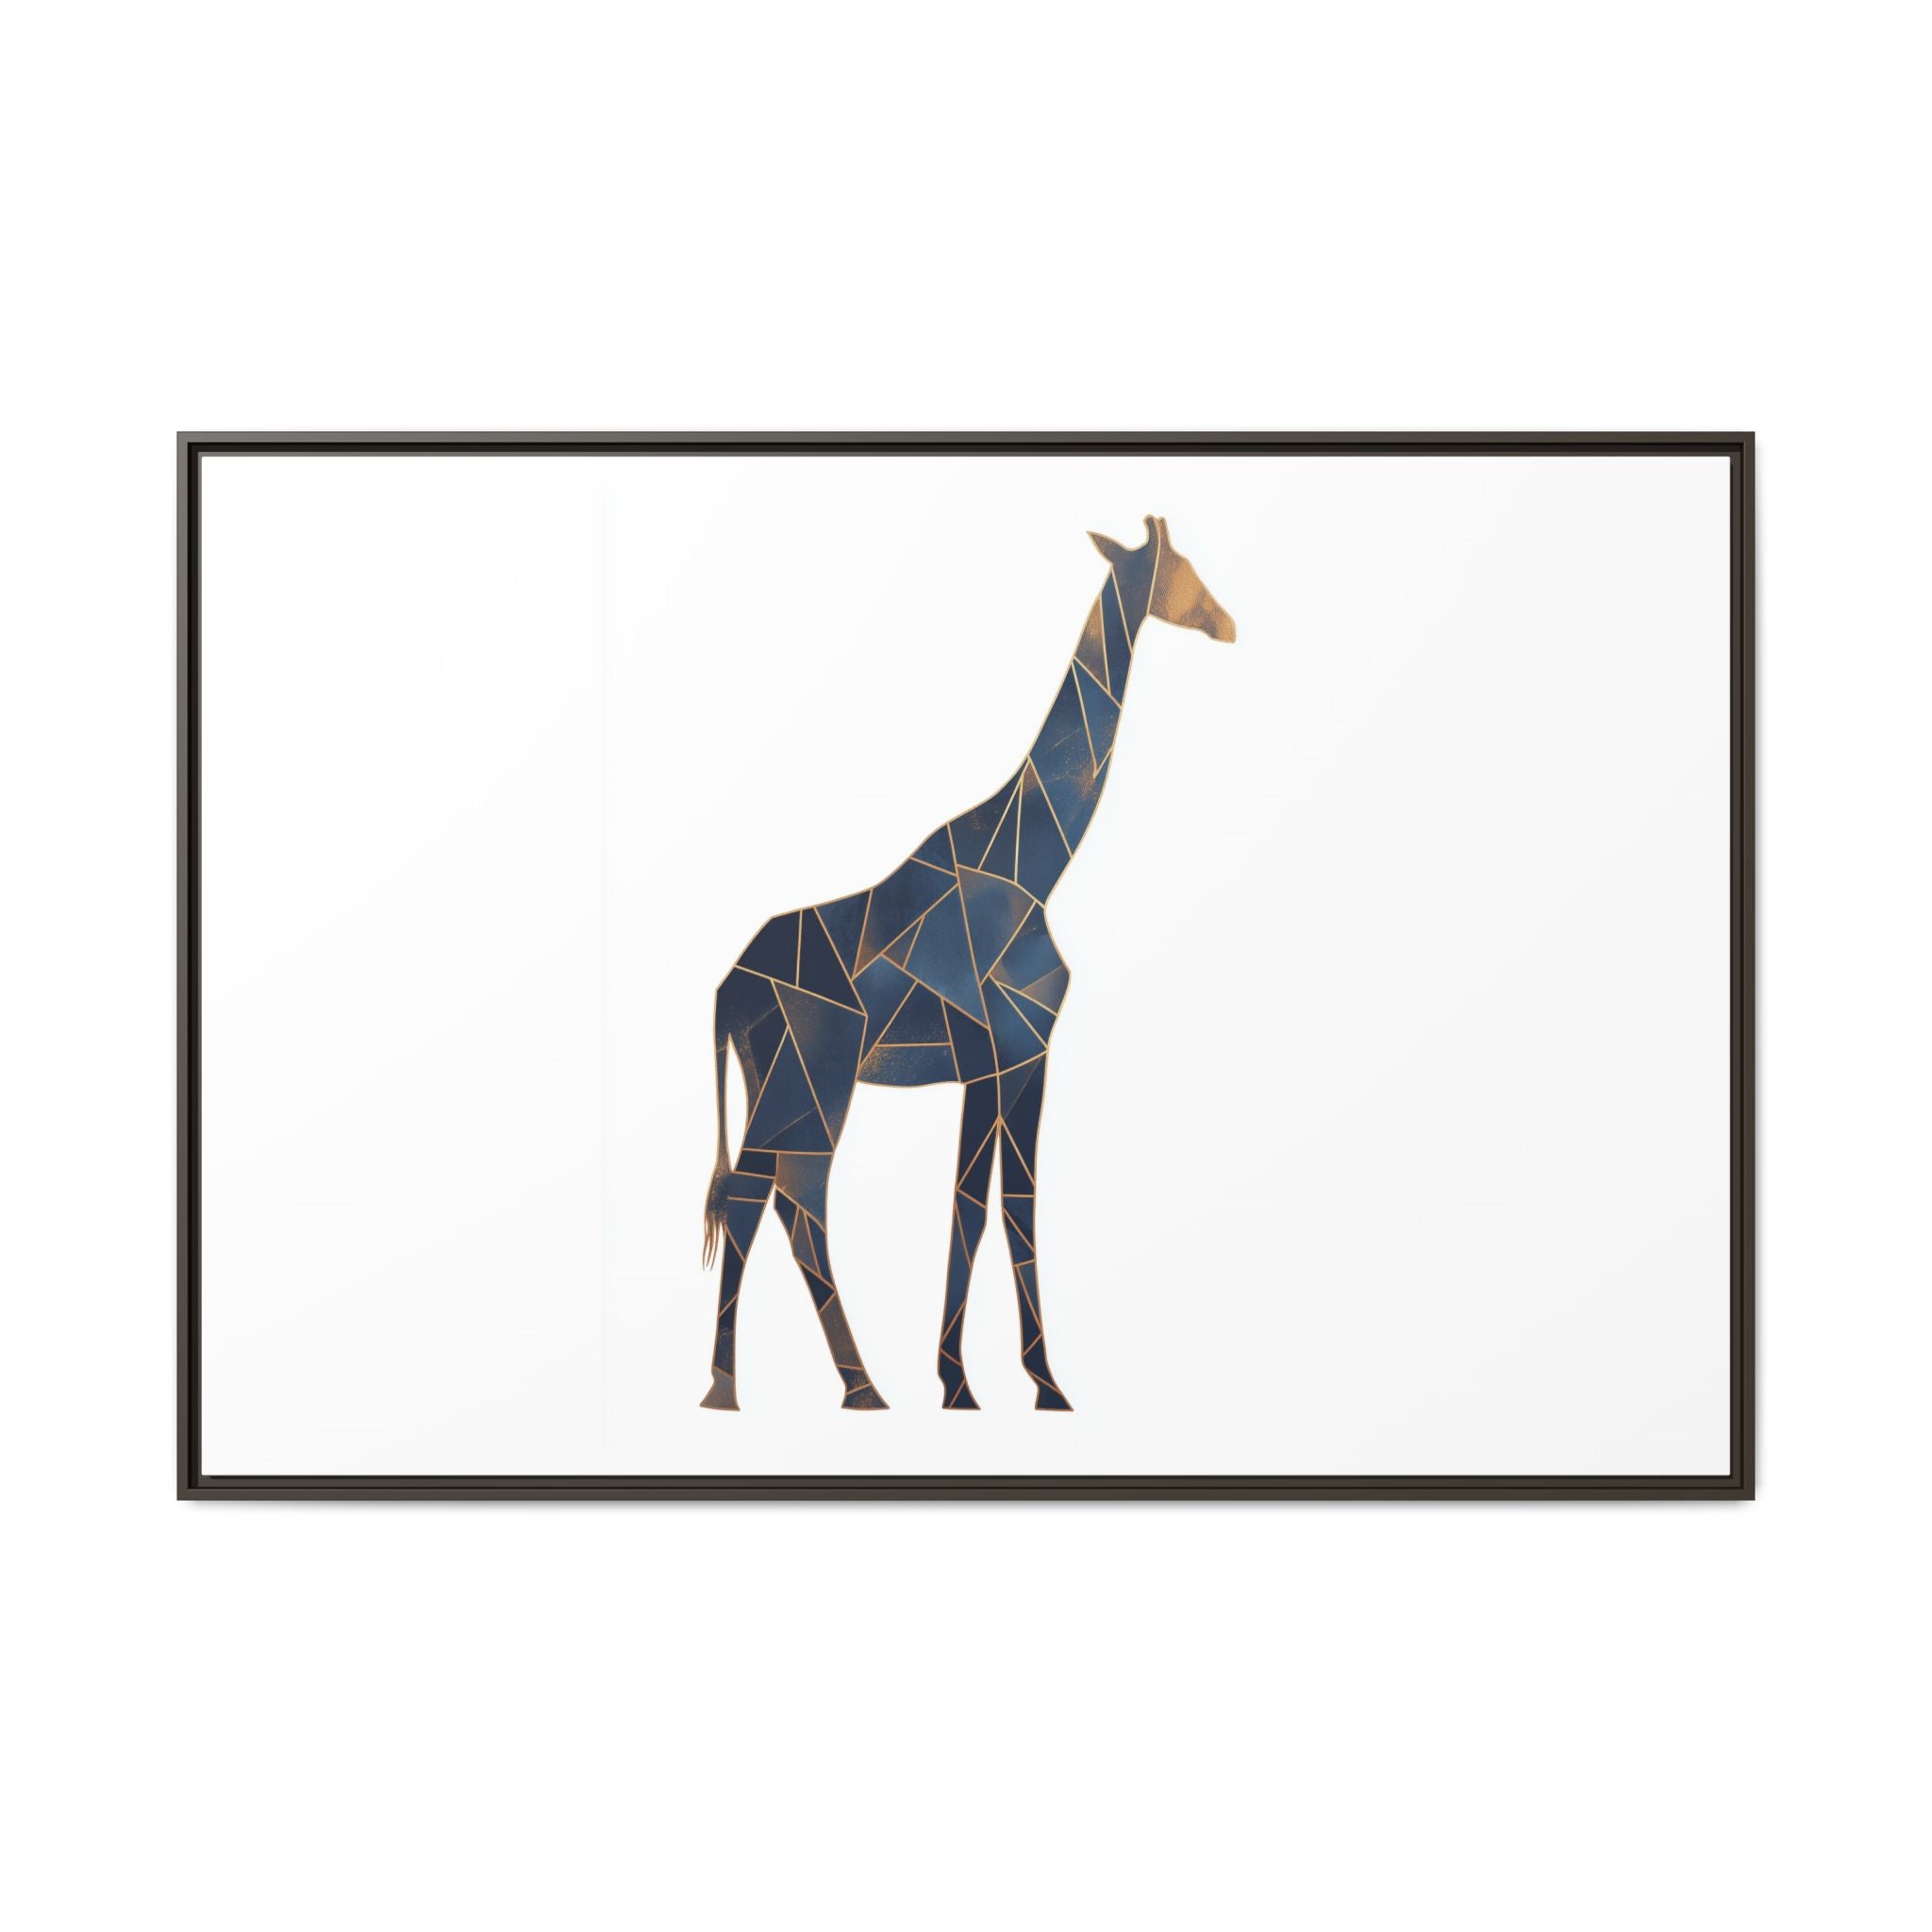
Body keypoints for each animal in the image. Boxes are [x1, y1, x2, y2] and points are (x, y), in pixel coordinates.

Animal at [698, 515, 1236, 1412]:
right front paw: (1008, 1386)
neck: (1037, 865)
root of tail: (727, 989)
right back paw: (767, 1390)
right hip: (815, 1077)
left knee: (772, 1196)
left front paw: (989, 1381)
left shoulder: (1005, 1061)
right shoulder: (1011, 1051)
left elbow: (986, 1206)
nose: (1227, 624)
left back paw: (822, 1386)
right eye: (1182, 566)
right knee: (782, 1195)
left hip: (775, 1079)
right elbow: (997, 1207)